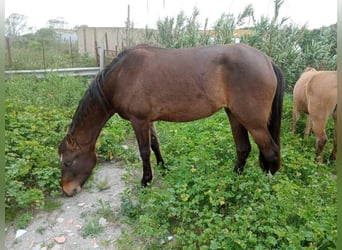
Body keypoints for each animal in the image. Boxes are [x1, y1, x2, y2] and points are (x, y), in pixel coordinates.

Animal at [58, 43, 284, 197]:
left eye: (68, 162)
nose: (66, 190)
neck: (122, 76)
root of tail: (268, 61)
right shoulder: (148, 120)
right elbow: (155, 144)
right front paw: (163, 168)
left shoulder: (138, 120)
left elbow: (144, 151)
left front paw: (145, 181)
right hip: (234, 115)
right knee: (243, 148)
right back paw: (233, 179)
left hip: (253, 122)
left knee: (270, 151)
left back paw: (269, 188)